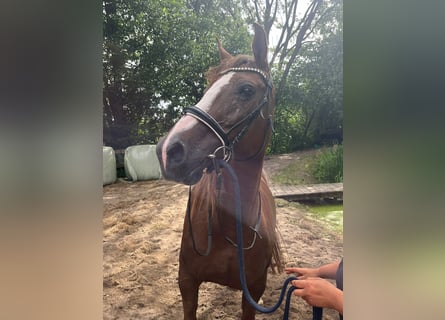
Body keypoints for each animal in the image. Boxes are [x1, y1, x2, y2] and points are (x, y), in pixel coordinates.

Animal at [156, 23, 280, 318]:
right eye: (207, 87)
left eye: (246, 90)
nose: (168, 150)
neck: (231, 228)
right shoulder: (187, 282)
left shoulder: (252, 293)